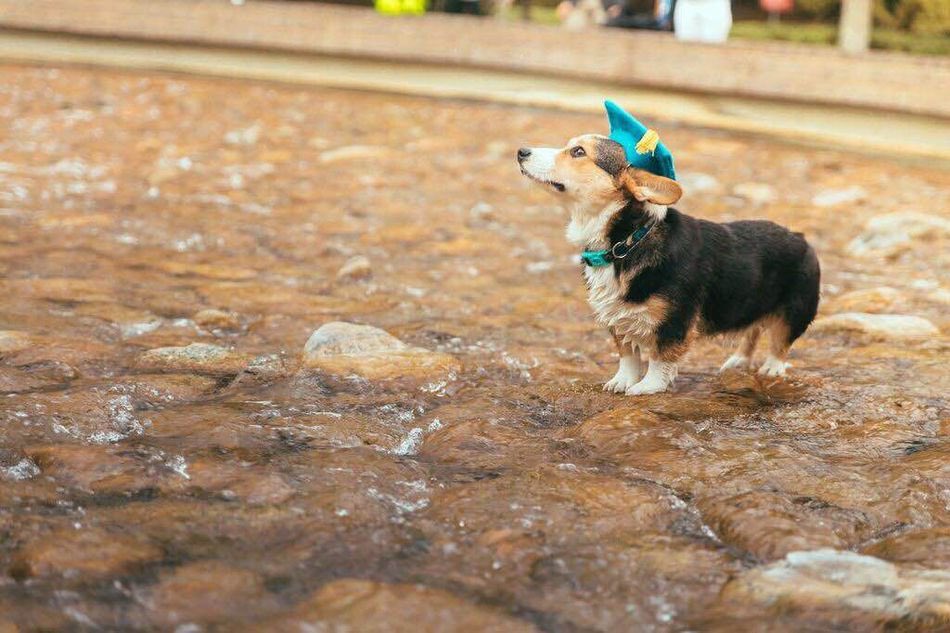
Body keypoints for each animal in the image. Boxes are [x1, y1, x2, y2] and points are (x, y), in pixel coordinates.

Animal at [516, 133, 820, 392]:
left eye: (578, 152)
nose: (521, 151)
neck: (626, 241)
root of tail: (800, 237)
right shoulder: (618, 318)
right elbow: (627, 355)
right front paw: (621, 381)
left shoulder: (674, 321)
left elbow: (659, 358)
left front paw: (647, 387)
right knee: (752, 331)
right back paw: (738, 361)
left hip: (795, 310)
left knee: (780, 342)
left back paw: (772, 368)